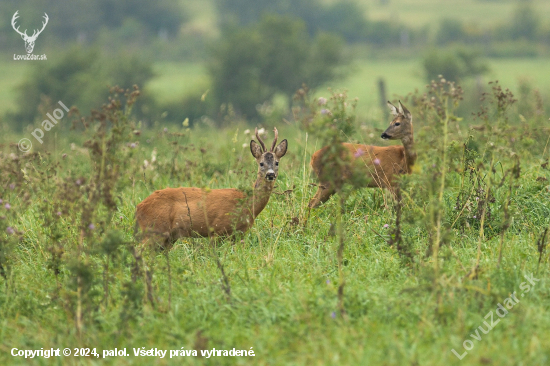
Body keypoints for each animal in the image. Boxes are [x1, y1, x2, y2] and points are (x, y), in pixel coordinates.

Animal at [136, 127, 288, 247]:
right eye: (261, 163)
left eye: (277, 162)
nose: (270, 174)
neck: (246, 203)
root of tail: (139, 207)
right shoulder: (217, 229)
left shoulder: (239, 233)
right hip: (154, 230)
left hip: (168, 237)